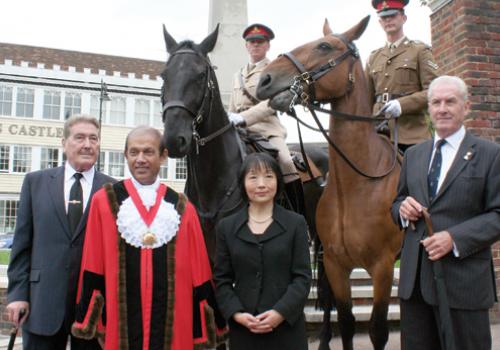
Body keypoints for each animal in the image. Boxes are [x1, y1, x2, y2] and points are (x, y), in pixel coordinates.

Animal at [258, 15, 402, 348]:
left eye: (324, 46)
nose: (264, 80)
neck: (357, 184)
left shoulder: (383, 267)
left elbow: (377, 329)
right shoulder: (337, 264)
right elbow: (346, 322)